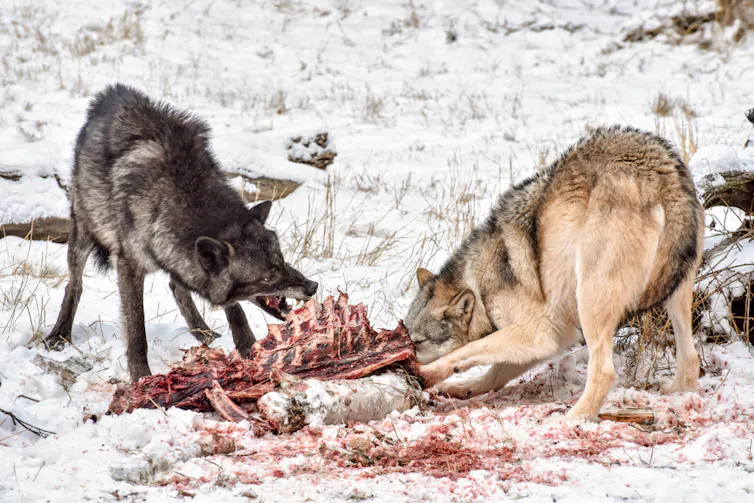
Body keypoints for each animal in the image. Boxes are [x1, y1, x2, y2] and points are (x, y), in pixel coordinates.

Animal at [43, 84, 318, 381]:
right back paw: (59, 335)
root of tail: (113, 92)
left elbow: (236, 310)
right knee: (74, 284)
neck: (178, 195)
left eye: (282, 261)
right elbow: (137, 330)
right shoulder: (128, 266)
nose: (312, 287)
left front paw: (248, 347)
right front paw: (141, 376)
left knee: (176, 286)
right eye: (268, 277)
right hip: (83, 233)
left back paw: (204, 333)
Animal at [406, 126, 704, 420]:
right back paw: (677, 392)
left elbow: (469, 351)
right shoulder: (555, 336)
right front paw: (463, 388)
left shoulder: (537, 332)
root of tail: (663, 175)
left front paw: (428, 373)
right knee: (691, 360)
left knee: (604, 371)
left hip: (590, 300)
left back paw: (574, 417)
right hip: (675, 291)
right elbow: (495, 373)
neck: (480, 282)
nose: (402, 364)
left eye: (418, 342)